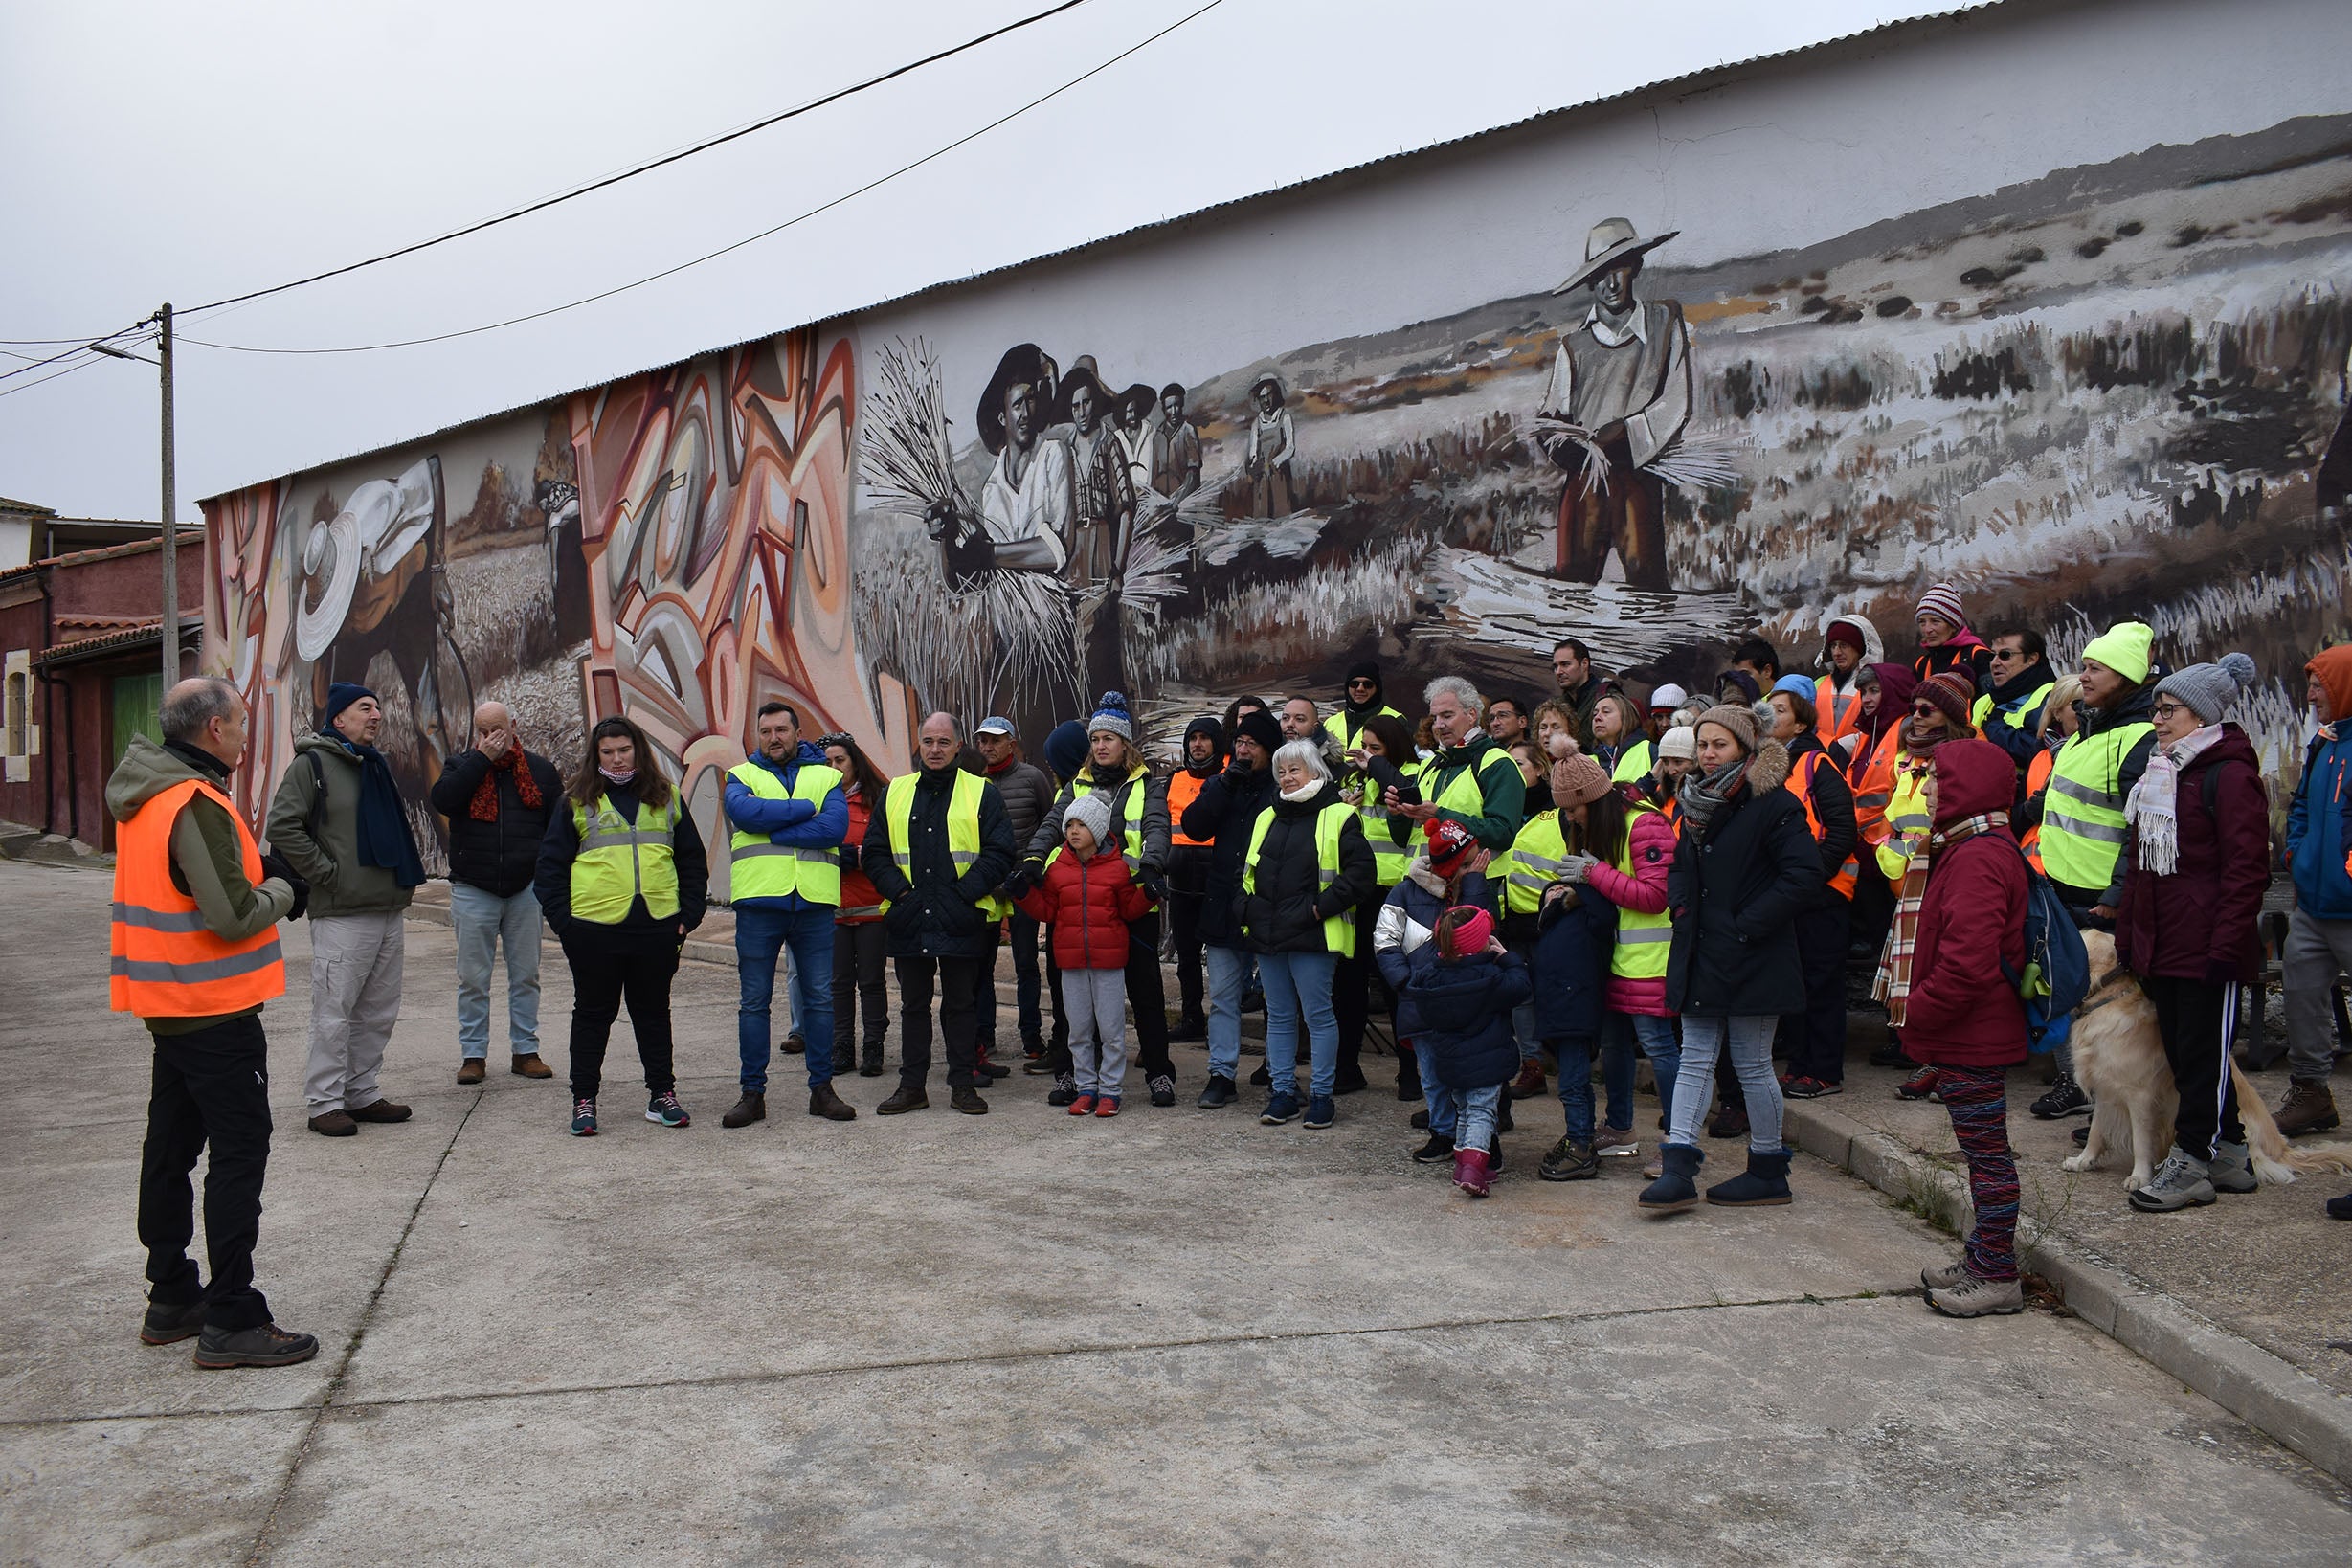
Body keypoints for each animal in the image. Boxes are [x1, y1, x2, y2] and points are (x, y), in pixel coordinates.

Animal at [2060, 930, 2352, 1189]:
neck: (2106, 1003)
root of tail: (2280, 1147)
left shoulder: (2140, 1095)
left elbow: (2141, 1141)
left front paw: (2139, 1177)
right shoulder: (2105, 1087)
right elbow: (2097, 1131)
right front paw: (2083, 1161)